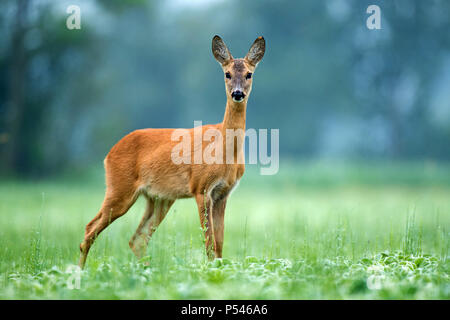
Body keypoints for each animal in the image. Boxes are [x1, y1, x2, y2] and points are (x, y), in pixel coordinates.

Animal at [79, 35, 266, 268]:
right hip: (119, 188)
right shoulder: (201, 188)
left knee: (137, 239)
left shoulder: (223, 193)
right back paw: (79, 272)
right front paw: (209, 270)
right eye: (227, 74)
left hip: (159, 198)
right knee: (90, 230)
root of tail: (109, 154)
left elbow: (220, 244)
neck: (224, 153)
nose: (238, 93)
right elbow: (209, 243)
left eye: (249, 73)